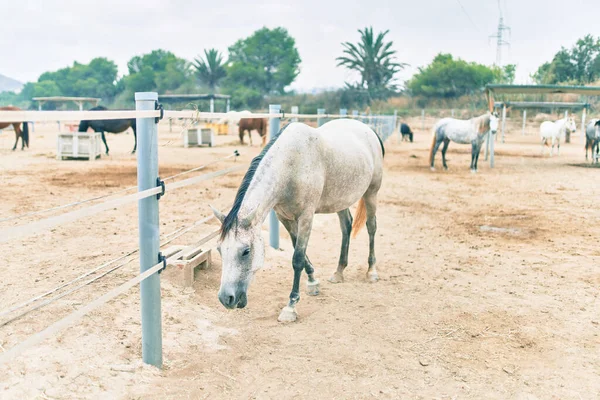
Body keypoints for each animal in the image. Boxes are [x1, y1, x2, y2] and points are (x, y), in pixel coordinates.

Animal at [211, 118, 384, 322]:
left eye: (246, 251)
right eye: (219, 249)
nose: (226, 298)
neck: (291, 165)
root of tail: (368, 130)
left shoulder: (306, 217)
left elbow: (298, 258)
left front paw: (291, 307)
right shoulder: (284, 217)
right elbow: (297, 250)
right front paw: (313, 282)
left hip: (371, 193)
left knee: (371, 227)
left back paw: (371, 272)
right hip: (341, 199)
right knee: (346, 227)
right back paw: (339, 272)